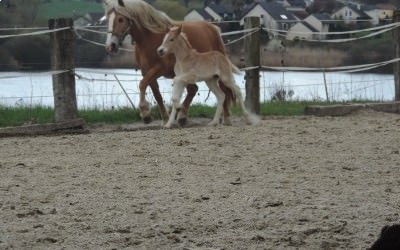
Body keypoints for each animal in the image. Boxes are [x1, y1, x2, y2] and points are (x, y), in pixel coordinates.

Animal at [103, 0, 234, 125]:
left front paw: (145, 113)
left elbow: (142, 84)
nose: (111, 46)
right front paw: (165, 118)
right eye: (108, 19)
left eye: (120, 19)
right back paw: (182, 116)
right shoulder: (146, 71)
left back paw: (226, 118)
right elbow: (156, 94)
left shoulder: (159, 69)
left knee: (224, 90)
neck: (149, 39)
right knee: (194, 90)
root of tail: (214, 28)